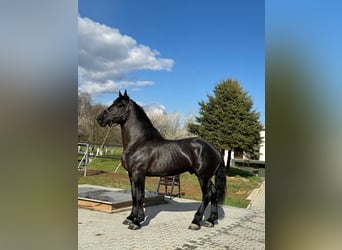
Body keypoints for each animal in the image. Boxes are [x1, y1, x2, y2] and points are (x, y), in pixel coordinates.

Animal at [96, 91, 226, 229]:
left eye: (120, 105)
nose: (100, 118)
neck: (138, 142)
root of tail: (215, 149)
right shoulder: (131, 174)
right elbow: (134, 195)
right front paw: (130, 218)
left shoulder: (139, 174)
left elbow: (140, 196)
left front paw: (137, 221)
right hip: (206, 177)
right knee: (213, 193)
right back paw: (210, 220)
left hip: (203, 177)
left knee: (207, 195)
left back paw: (195, 222)